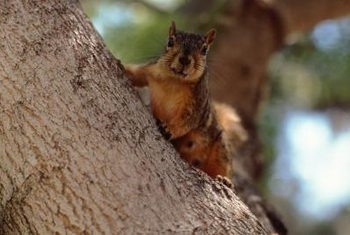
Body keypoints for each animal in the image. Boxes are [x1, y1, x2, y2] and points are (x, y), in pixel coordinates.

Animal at [123, 21, 246, 185]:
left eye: (204, 49)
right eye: (170, 41)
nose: (185, 59)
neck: (174, 82)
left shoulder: (196, 106)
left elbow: (186, 121)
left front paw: (169, 129)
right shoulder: (149, 71)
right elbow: (136, 74)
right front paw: (122, 66)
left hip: (221, 149)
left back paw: (225, 180)